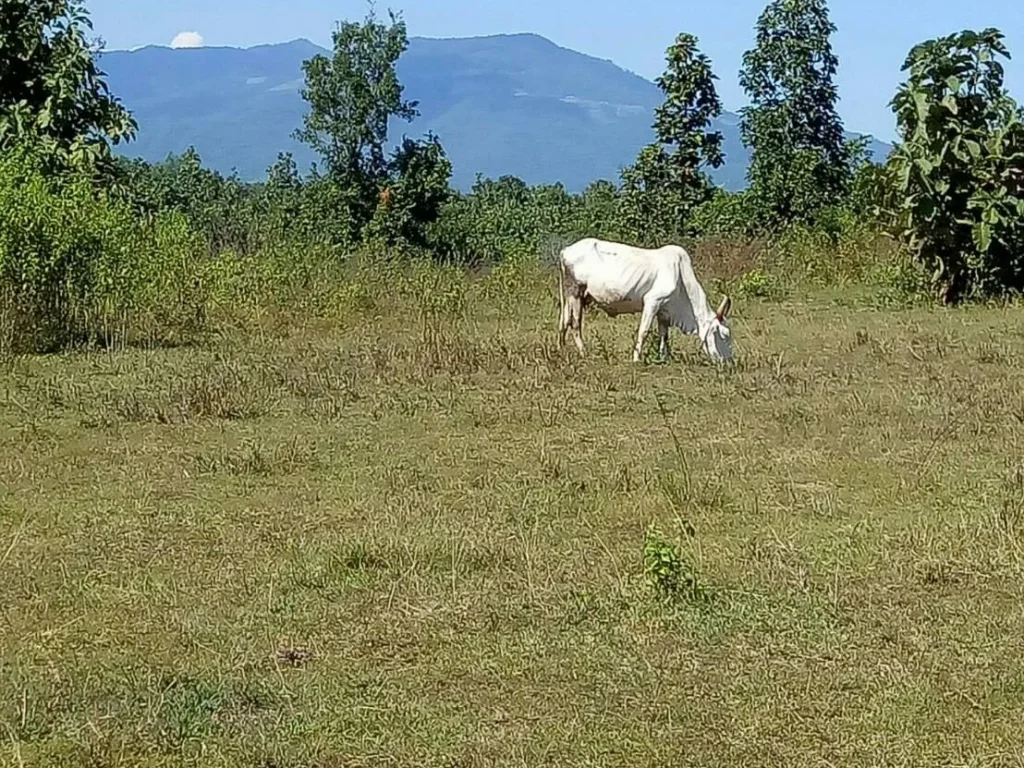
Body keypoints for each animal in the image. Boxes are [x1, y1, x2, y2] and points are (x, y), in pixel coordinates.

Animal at [557, 237, 733, 364]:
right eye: (724, 335)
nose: (729, 362)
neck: (680, 276)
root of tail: (566, 251)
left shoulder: (663, 311)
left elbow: (664, 335)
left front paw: (664, 357)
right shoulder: (652, 302)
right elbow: (644, 331)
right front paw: (636, 359)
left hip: (570, 295)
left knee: (563, 322)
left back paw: (561, 350)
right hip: (576, 292)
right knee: (575, 324)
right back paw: (584, 353)